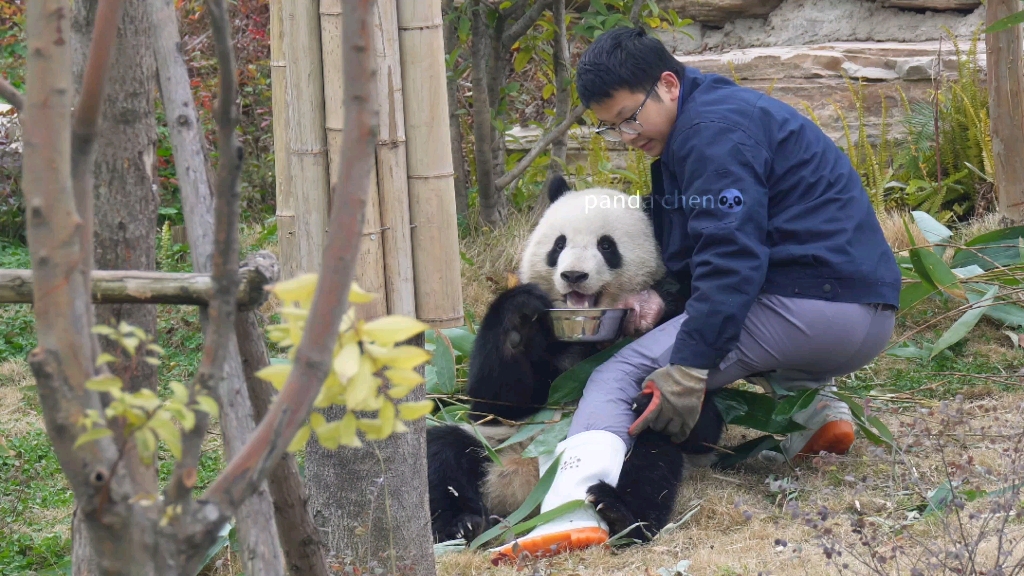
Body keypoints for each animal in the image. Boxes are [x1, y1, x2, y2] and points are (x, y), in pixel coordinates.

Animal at [428, 176, 724, 553]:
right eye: (559, 244)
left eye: (607, 246)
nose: (573, 275)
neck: (587, 344)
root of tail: (528, 492)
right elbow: (493, 402)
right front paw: (518, 318)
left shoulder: (679, 324)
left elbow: (703, 430)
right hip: (494, 446)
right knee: (442, 450)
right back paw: (462, 525)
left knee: (652, 456)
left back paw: (619, 514)